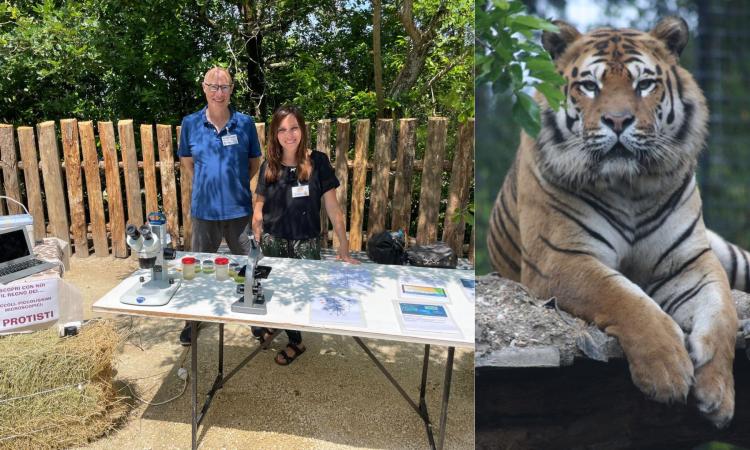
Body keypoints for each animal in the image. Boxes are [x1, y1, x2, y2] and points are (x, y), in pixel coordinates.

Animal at [488, 15, 748, 428]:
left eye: (644, 84)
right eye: (589, 86)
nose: (618, 120)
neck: (629, 187)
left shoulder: (691, 260)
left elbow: (722, 315)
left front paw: (719, 394)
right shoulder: (561, 259)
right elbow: (626, 298)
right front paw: (668, 372)